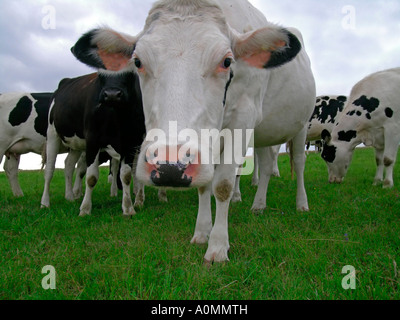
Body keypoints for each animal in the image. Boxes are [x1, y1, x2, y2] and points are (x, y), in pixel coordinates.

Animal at [39, 71, 146, 218]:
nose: (112, 94)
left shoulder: (130, 144)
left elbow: (126, 176)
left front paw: (128, 207)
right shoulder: (93, 140)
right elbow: (91, 177)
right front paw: (85, 209)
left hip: (76, 144)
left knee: (69, 165)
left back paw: (70, 197)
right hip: (52, 134)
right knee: (49, 170)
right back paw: (45, 203)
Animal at [71, 0, 316, 262]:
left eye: (227, 61)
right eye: (138, 62)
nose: (169, 166)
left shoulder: (243, 119)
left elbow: (223, 185)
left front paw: (217, 246)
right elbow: (203, 185)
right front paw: (201, 233)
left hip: (301, 125)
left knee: (299, 162)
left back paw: (302, 203)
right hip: (264, 133)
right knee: (268, 165)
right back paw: (258, 205)